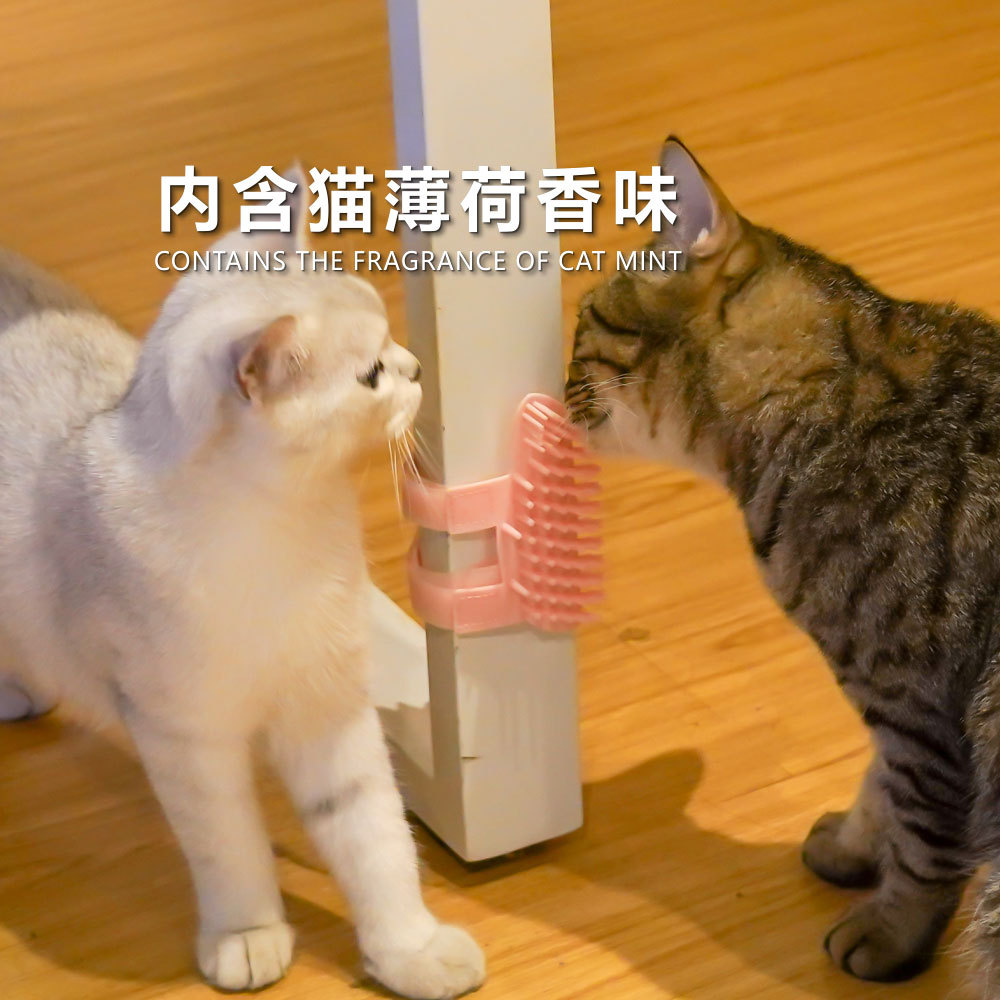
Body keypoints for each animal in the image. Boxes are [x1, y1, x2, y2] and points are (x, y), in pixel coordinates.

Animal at [0, 173, 484, 1000]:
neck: (280, 538)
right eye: (371, 375)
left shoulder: (330, 709)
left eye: (392, 348)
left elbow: (375, 842)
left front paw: (409, 950)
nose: (419, 366)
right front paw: (249, 935)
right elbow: (230, 850)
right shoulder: (186, 739)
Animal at [566, 137, 1000, 993]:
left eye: (580, 324)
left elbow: (925, 838)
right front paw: (856, 845)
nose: (551, 388)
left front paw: (891, 932)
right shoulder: (898, 708)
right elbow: (879, 788)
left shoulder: (921, 703)